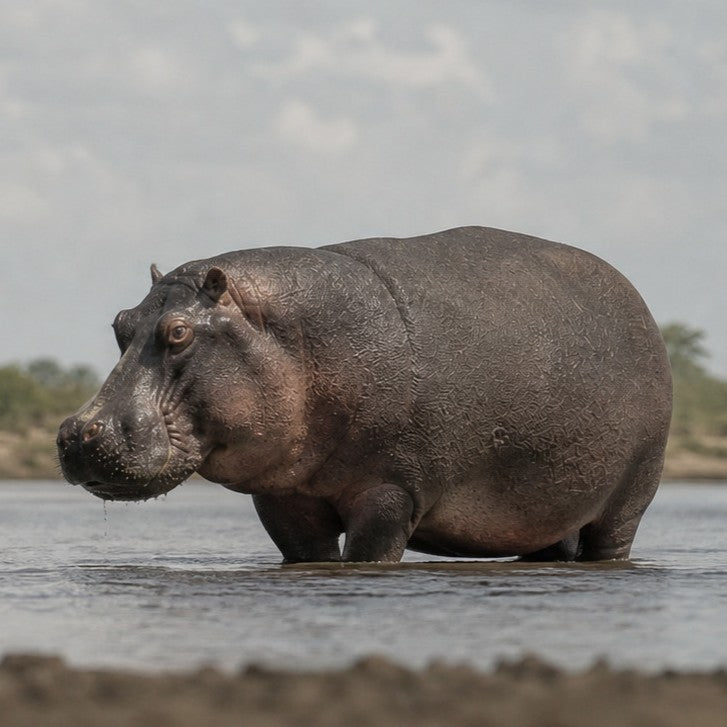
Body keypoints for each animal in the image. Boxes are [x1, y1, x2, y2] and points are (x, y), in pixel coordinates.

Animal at [57, 226, 672, 563]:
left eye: (179, 332)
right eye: (119, 323)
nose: (79, 432)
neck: (288, 339)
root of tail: (638, 300)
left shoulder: (390, 489)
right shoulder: (284, 498)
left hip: (631, 495)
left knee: (612, 542)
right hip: (548, 509)